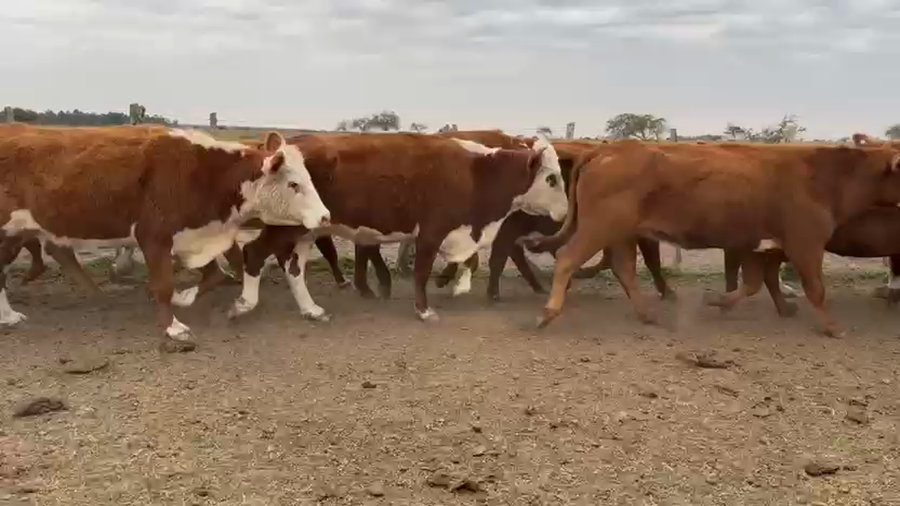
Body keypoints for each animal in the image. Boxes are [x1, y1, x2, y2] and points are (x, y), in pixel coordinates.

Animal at [0, 124, 331, 340]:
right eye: (294, 184)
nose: (325, 216)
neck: (203, 172)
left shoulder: (189, 236)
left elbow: (214, 273)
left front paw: (185, 298)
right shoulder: (154, 237)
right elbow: (163, 284)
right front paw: (173, 327)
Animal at [171, 132, 568, 322]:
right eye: (551, 179)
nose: (565, 212)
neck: (475, 172)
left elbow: (464, 262)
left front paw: (456, 286)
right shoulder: (432, 230)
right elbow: (423, 270)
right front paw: (424, 310)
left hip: (305, 230)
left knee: (293, 267)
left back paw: (310, 309)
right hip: (287, 228)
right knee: (255, 254)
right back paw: (244, 304)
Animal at [520, 140, 900, 337]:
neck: (824, 177)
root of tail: (605, 150)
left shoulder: (753, 244)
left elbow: (752, 283)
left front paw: (718, 300)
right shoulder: (804, 243)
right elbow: (815, 289)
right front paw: (834, 326)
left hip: (622, 232)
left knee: (624, 269)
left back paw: (648, 314)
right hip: (601, 227)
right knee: (569, 258)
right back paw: (547, 313)